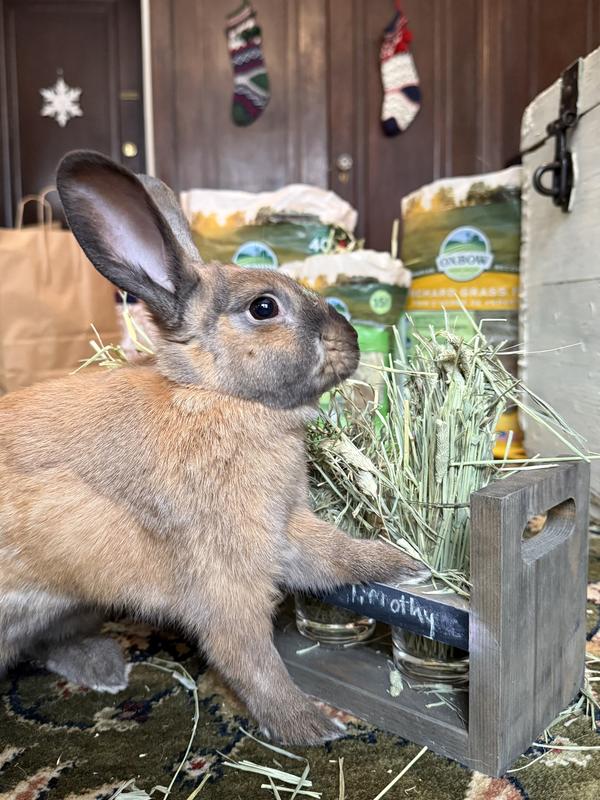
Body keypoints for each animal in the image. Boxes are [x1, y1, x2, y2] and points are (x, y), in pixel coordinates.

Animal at [0, 150, 429, 744]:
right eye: (264, 308)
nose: (351, 340)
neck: (217, 397)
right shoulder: (227, 575)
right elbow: (250, 656)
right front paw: (310, 727)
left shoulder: (284, 530)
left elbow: (340, 557)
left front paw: (407, 566)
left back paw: (106, 670)